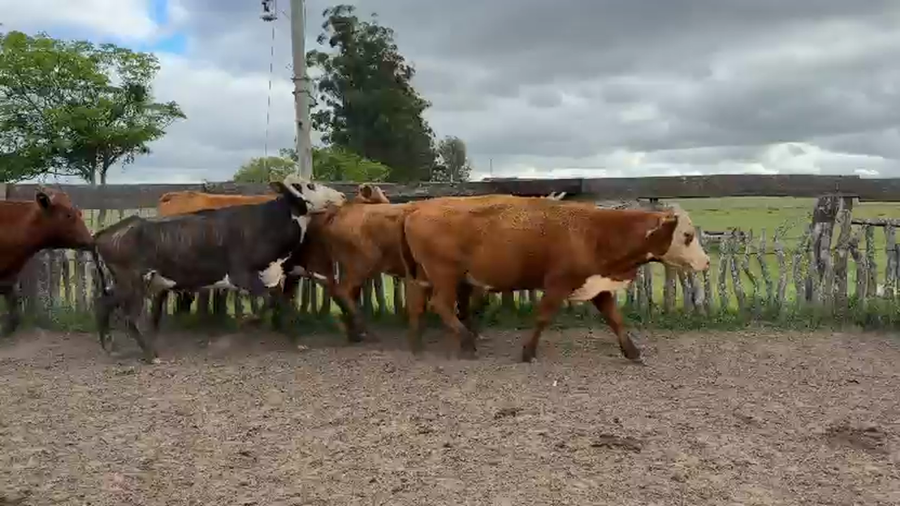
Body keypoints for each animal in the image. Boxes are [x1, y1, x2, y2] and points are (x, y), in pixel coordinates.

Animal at [93, 176, 346, 363]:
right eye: (309, 185)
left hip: (128, 283)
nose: (342, 196)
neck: (265, 223)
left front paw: (296, 340)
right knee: (128, 317)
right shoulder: (241, 275)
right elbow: (272, 303)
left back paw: (109, 345)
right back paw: (150, 355)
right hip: (132, 283)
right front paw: (247, 325)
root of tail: (105, 233)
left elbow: (282, 305)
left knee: (103, 303)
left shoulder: (270, 276)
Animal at [399, 197, 710, 363]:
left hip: (424, 276)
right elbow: (543, 317)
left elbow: (615, 319)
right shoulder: (558, 284)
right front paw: (528, 351)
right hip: (445, 275)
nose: (706, 262)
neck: (594, 232)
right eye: (687, 235)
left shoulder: (597, 286)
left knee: (417, 304)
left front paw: (632, 351)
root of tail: (416, 209)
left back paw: (416, 345)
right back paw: (465, 341)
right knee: (440, 305)